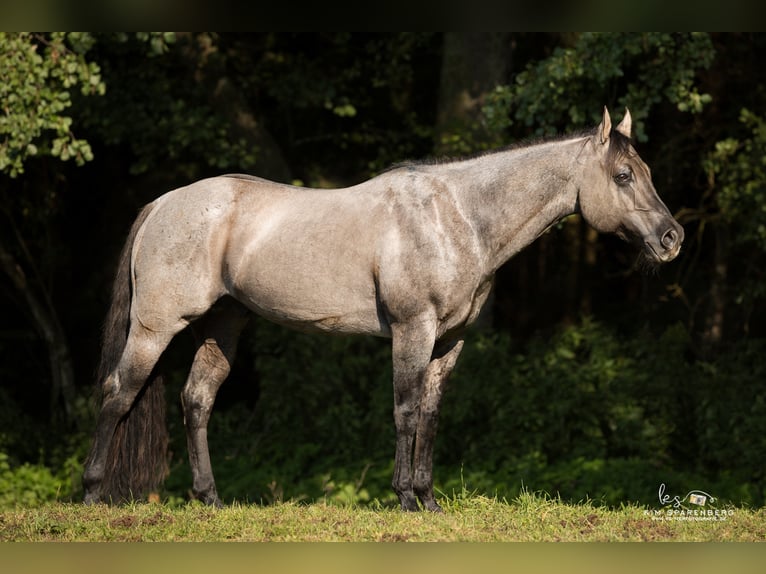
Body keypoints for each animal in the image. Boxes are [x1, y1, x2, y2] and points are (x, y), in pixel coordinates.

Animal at [82, 108, 684, 512]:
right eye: (624, 175)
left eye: (650, 172)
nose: (672, 238)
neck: (458, 216)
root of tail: (164, 202)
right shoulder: (412, 330)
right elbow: (406, 410)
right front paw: (405, 500)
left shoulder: (450, 340)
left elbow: (432, 415)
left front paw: (429, 499)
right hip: (156, 328)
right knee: (118, 394)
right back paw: (91, 494)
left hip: (223, 327)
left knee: (197, 401)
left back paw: (209, 499)